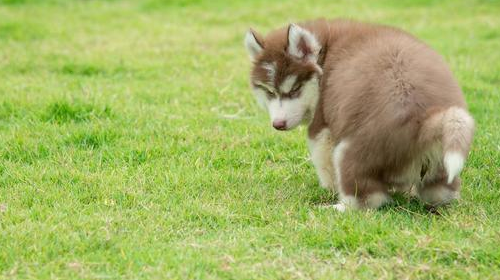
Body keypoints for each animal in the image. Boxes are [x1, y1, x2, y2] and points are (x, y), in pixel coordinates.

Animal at [244, 19, 474, 210]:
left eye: (294, 90)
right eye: (270, 92)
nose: (278, 124)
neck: (325, 53)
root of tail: (425, 120)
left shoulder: (322, 126)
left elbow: (323, 160)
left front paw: (329, 188)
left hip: (350, 152)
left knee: (369, 199)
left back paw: (337, 207)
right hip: (439, 164)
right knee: (441, 192)